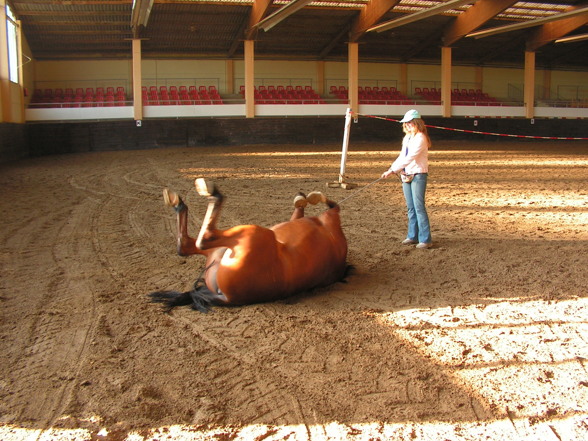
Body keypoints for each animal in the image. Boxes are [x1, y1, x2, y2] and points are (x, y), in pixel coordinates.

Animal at [149, 177, 346, 312]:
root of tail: (227, 298)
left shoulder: (331, 215)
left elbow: (330, 204)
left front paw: (310, 197)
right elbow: (300, 209)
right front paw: (302, 197)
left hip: (247, 233)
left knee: (202, 239)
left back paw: (207, 192)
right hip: (220, 250)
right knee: (185, 246)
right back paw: (178, 201)